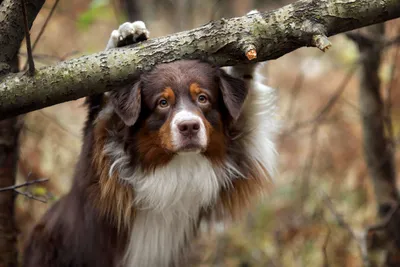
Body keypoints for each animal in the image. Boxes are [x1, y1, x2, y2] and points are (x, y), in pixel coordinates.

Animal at [22, 18, 278, 267]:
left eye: (203, 98)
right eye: (163, 103)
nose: (189, 127)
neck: (176, 162)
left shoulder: (240, 150)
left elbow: (247, 106)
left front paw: (250, 38)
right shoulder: (98, 163)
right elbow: (100, 105)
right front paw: (124, 39)